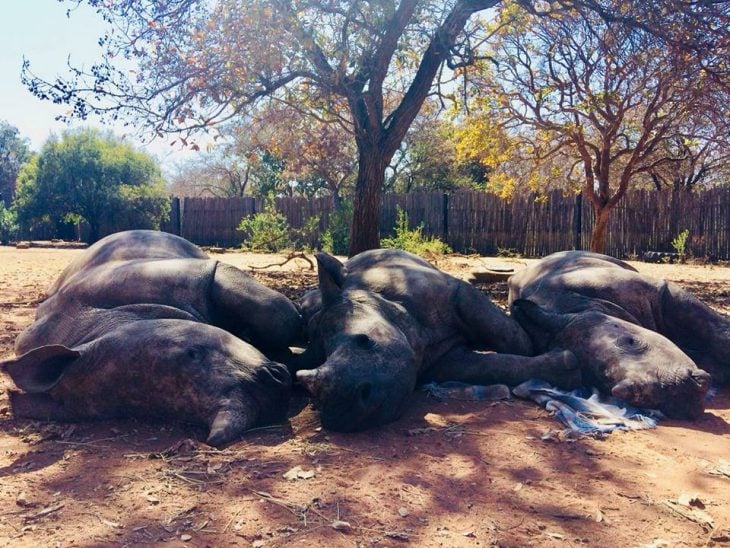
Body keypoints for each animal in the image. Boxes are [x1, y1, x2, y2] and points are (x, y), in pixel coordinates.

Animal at [292, 249, 576, 432]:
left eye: (366, 341)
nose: (341, 413)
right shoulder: (437, 360)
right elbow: (487, 368)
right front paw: (566, 366)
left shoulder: (456, 292)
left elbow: (507, 335)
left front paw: (545, 349)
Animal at [506, 250, 724, 418]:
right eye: (604, 380)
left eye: (632, 341)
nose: (673, 391)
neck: (575, 309)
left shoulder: (657, 291)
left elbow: (711, 329)